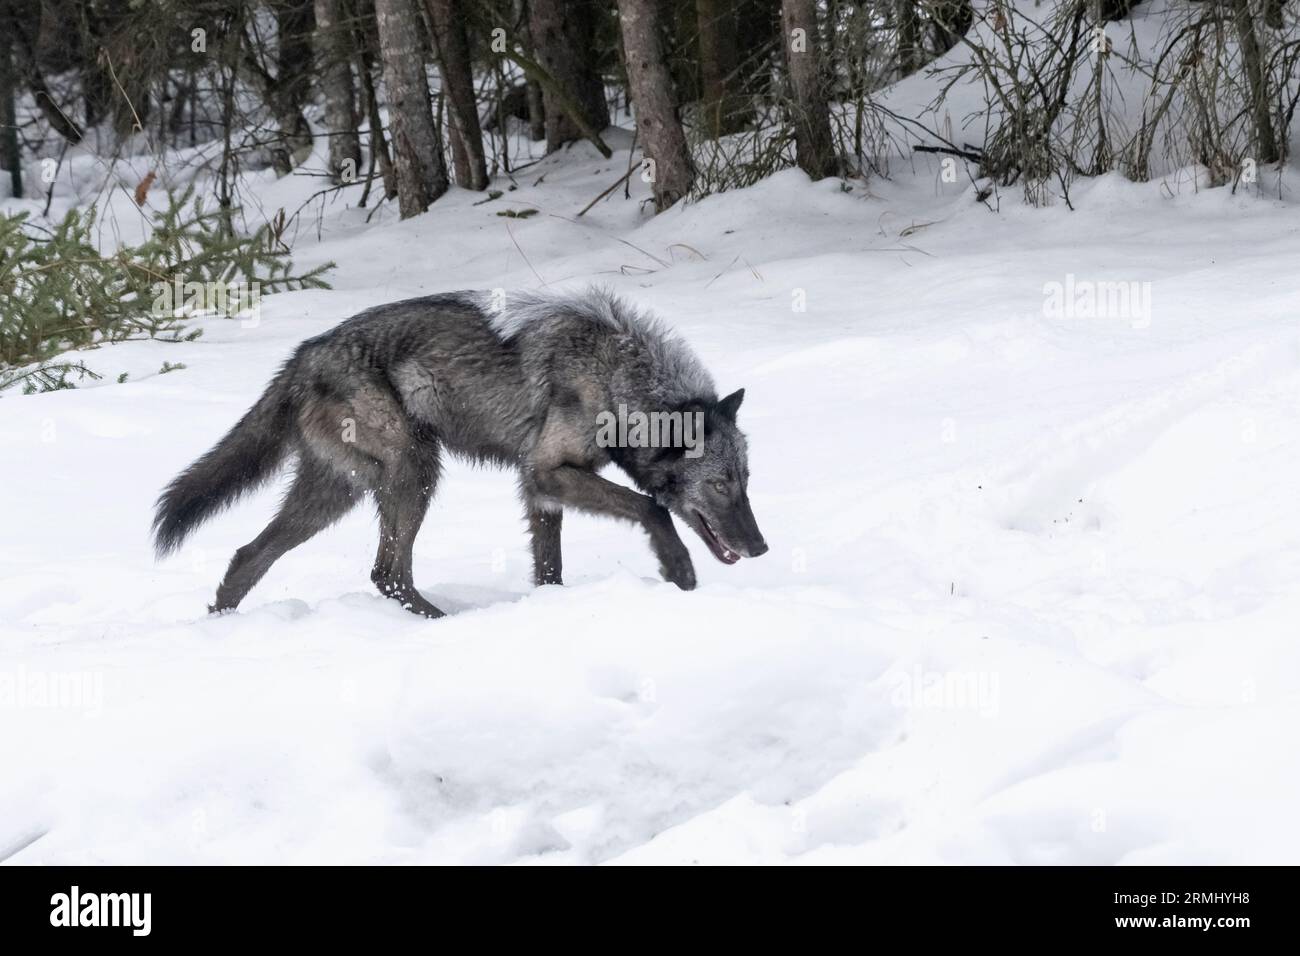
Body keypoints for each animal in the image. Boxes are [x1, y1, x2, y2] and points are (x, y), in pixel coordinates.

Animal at [153, 287, 768, 617]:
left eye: (746, 480)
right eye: (719, 485)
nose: (760, 548)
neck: (617, 380)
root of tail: (304, 355)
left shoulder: (539, 491)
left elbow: (550, 567)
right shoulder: (549, 473)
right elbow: (651, 507)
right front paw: (678, 570)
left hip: (337, 492)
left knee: (250, 555)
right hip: (413, 472)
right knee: (387, 573)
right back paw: (443, 626)